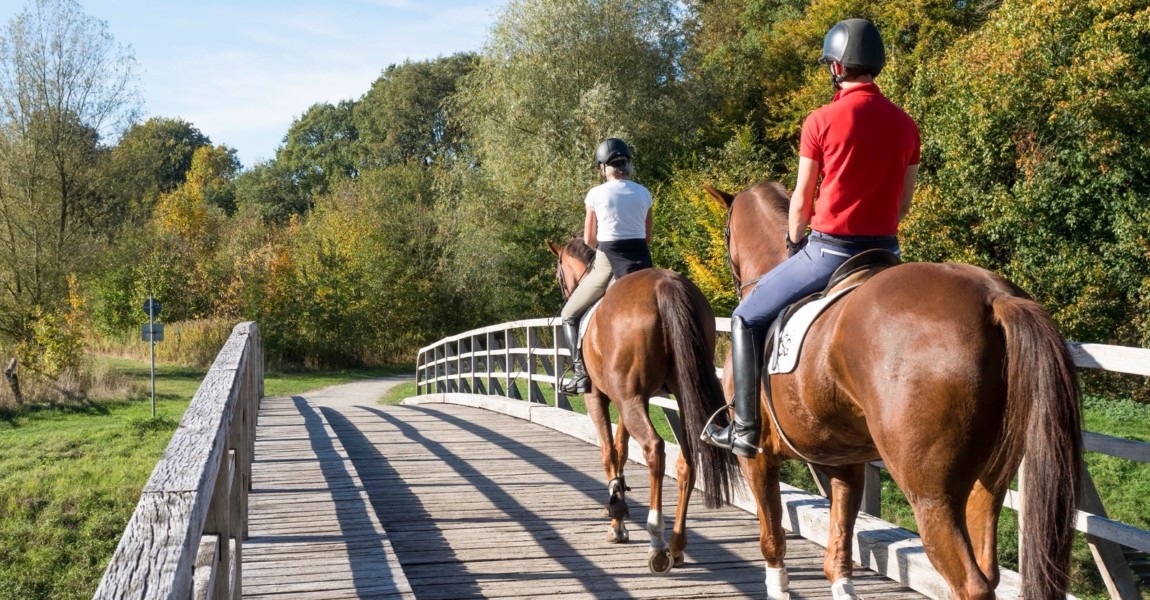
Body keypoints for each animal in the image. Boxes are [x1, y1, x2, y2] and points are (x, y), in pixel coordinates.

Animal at [547, 236, 736, 570]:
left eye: (559, 276)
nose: (565, 290)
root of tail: (665, 286)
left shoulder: (599, 397)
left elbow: (609, 452)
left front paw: (617, 518)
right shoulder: (631, 400)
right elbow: (621, 449)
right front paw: (619, 508)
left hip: (629, 399)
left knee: (654, 449)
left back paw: (657, 542)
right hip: (678, 392)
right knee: (686, 459)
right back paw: (676, 544)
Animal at [703, 181, 1081, 597]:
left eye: (726, 233)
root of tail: (993, 296)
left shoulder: (757, 458)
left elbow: (773, 538)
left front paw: (777, 585)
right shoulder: (844, 461)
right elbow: (839, 550)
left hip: (931, 495)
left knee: (970, 582)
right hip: (989, 479)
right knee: (988, 568)